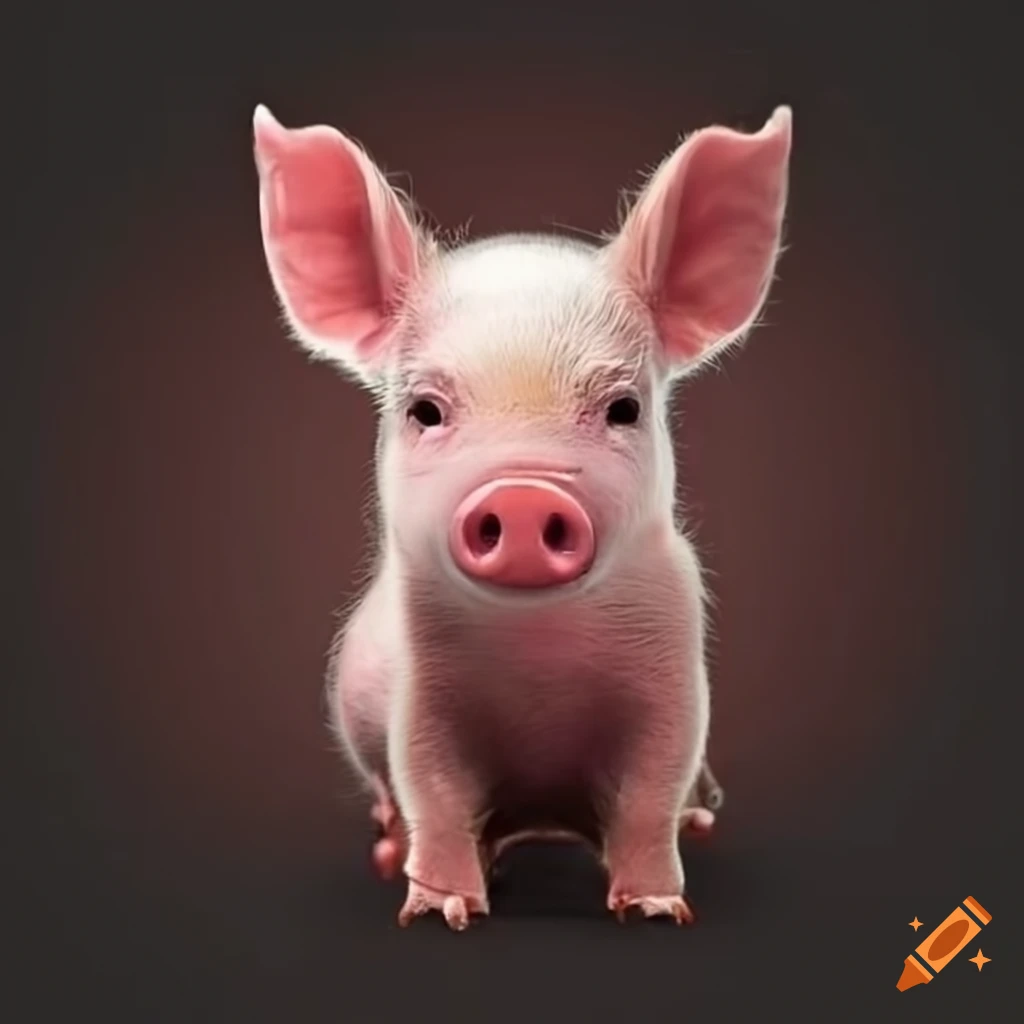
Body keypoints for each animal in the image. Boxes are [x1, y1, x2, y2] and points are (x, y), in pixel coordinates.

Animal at [252, 102, 791, 930]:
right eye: (425, 409)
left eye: (624, 407)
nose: (524, 494)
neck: (540, 657)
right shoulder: (421, 693)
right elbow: (433, 791)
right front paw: (438, 912)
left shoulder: (674, 679)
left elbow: (650, 794)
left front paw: (657, 909)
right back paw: (389, 849)